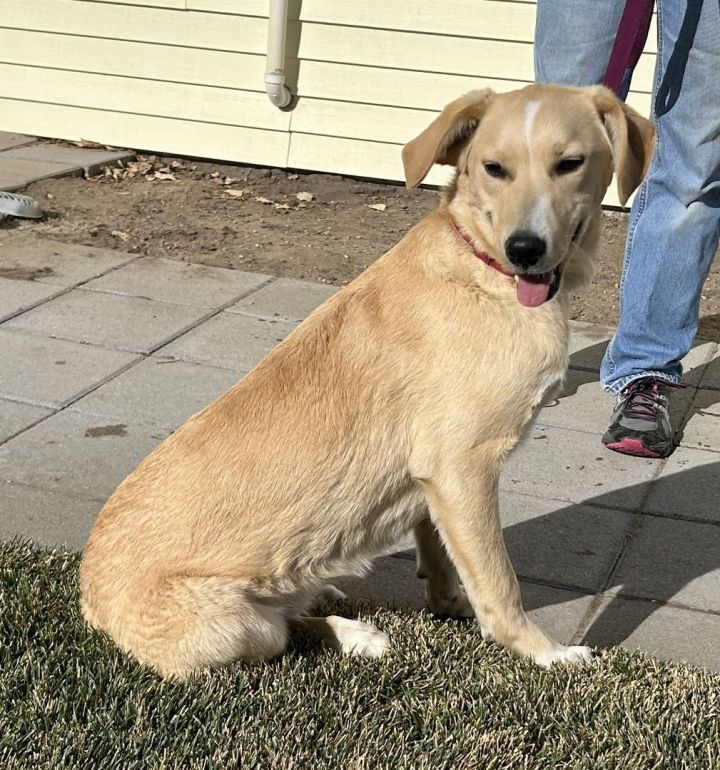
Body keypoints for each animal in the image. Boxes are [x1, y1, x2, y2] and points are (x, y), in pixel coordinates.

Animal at [79, 81, 652, 676]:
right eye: (494, 168)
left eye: (569, 164)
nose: (525, 249)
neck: (480, 263)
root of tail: (89, 599)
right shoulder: (463, 465)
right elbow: (499, 581)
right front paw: (545, 653)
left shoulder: (432, 477)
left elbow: (441, 552)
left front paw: (449, 604)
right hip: (231, 624)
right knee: (281, 634)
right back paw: (352, 634)